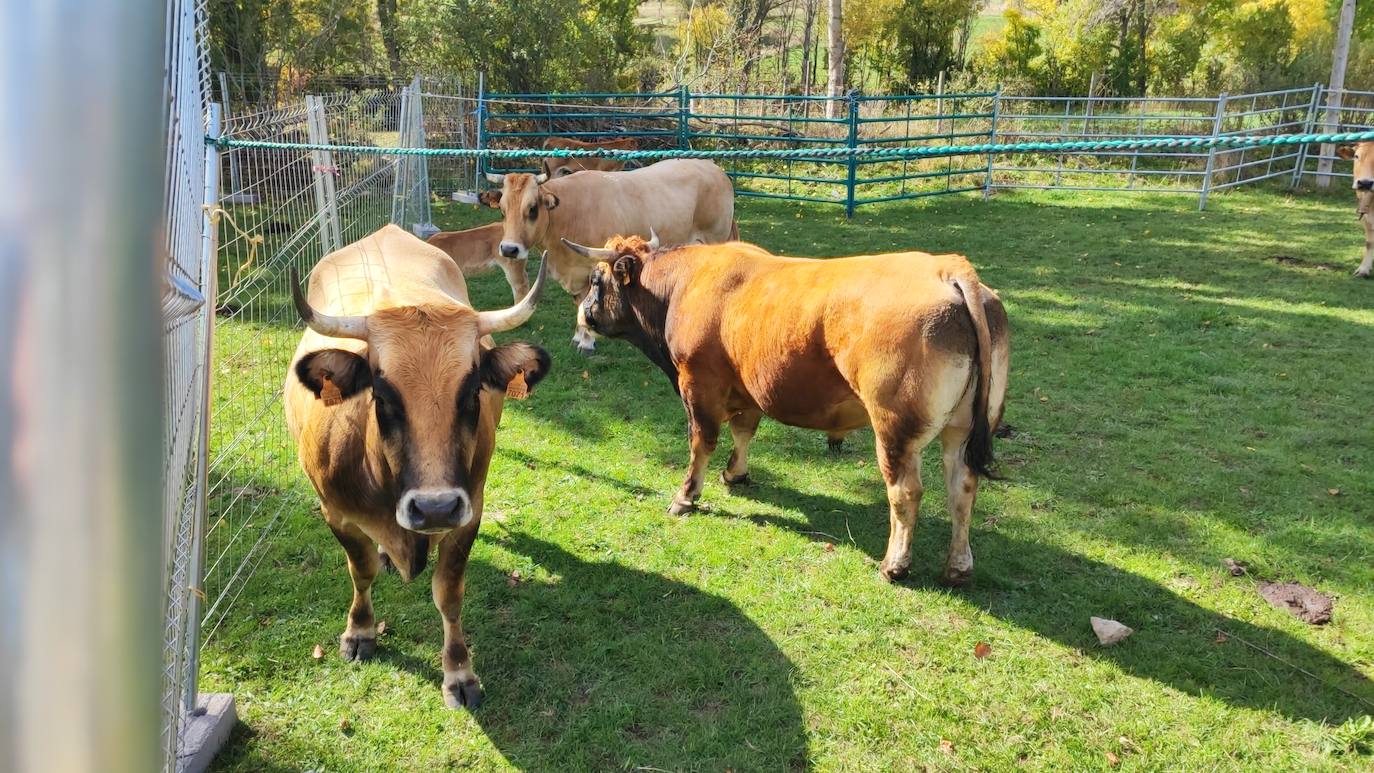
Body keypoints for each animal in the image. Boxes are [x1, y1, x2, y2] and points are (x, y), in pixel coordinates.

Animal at [284, 223, 552, 713]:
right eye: (382, 395)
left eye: (473, 391)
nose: (435, 509)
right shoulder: (335, 513)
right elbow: (361, 570)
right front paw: (360, 631)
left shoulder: (471, 511)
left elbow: (448, 594)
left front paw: (459, 673)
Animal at [566, 236, 1011, 587]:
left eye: (596, 280)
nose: (582, 313)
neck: (681, 286)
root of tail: (946, 267)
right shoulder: (746, 387)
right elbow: (744, 431)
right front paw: (736, 473)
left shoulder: (698, 383)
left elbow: (701, 442)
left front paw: (686, 496)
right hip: (963, 428)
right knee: (962, 487)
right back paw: (958, 567)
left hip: (895, 428)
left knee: (906, 492)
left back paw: (894, 565)